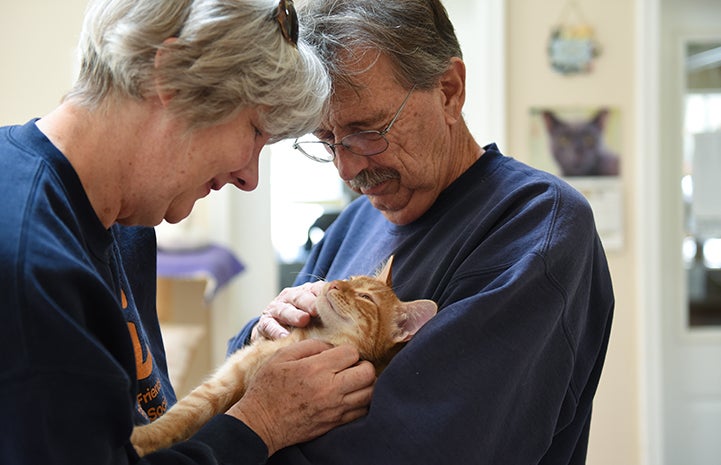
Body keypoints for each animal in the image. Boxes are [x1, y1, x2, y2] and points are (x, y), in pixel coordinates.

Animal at [131, 256, 436, 454]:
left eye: (366, 298)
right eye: (350, 280)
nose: (335, 283)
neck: (311, 336)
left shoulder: (221, 386)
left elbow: (178, 419)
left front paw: (138, 438)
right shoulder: (225, 382)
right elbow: (179, 418)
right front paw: (143, 436)